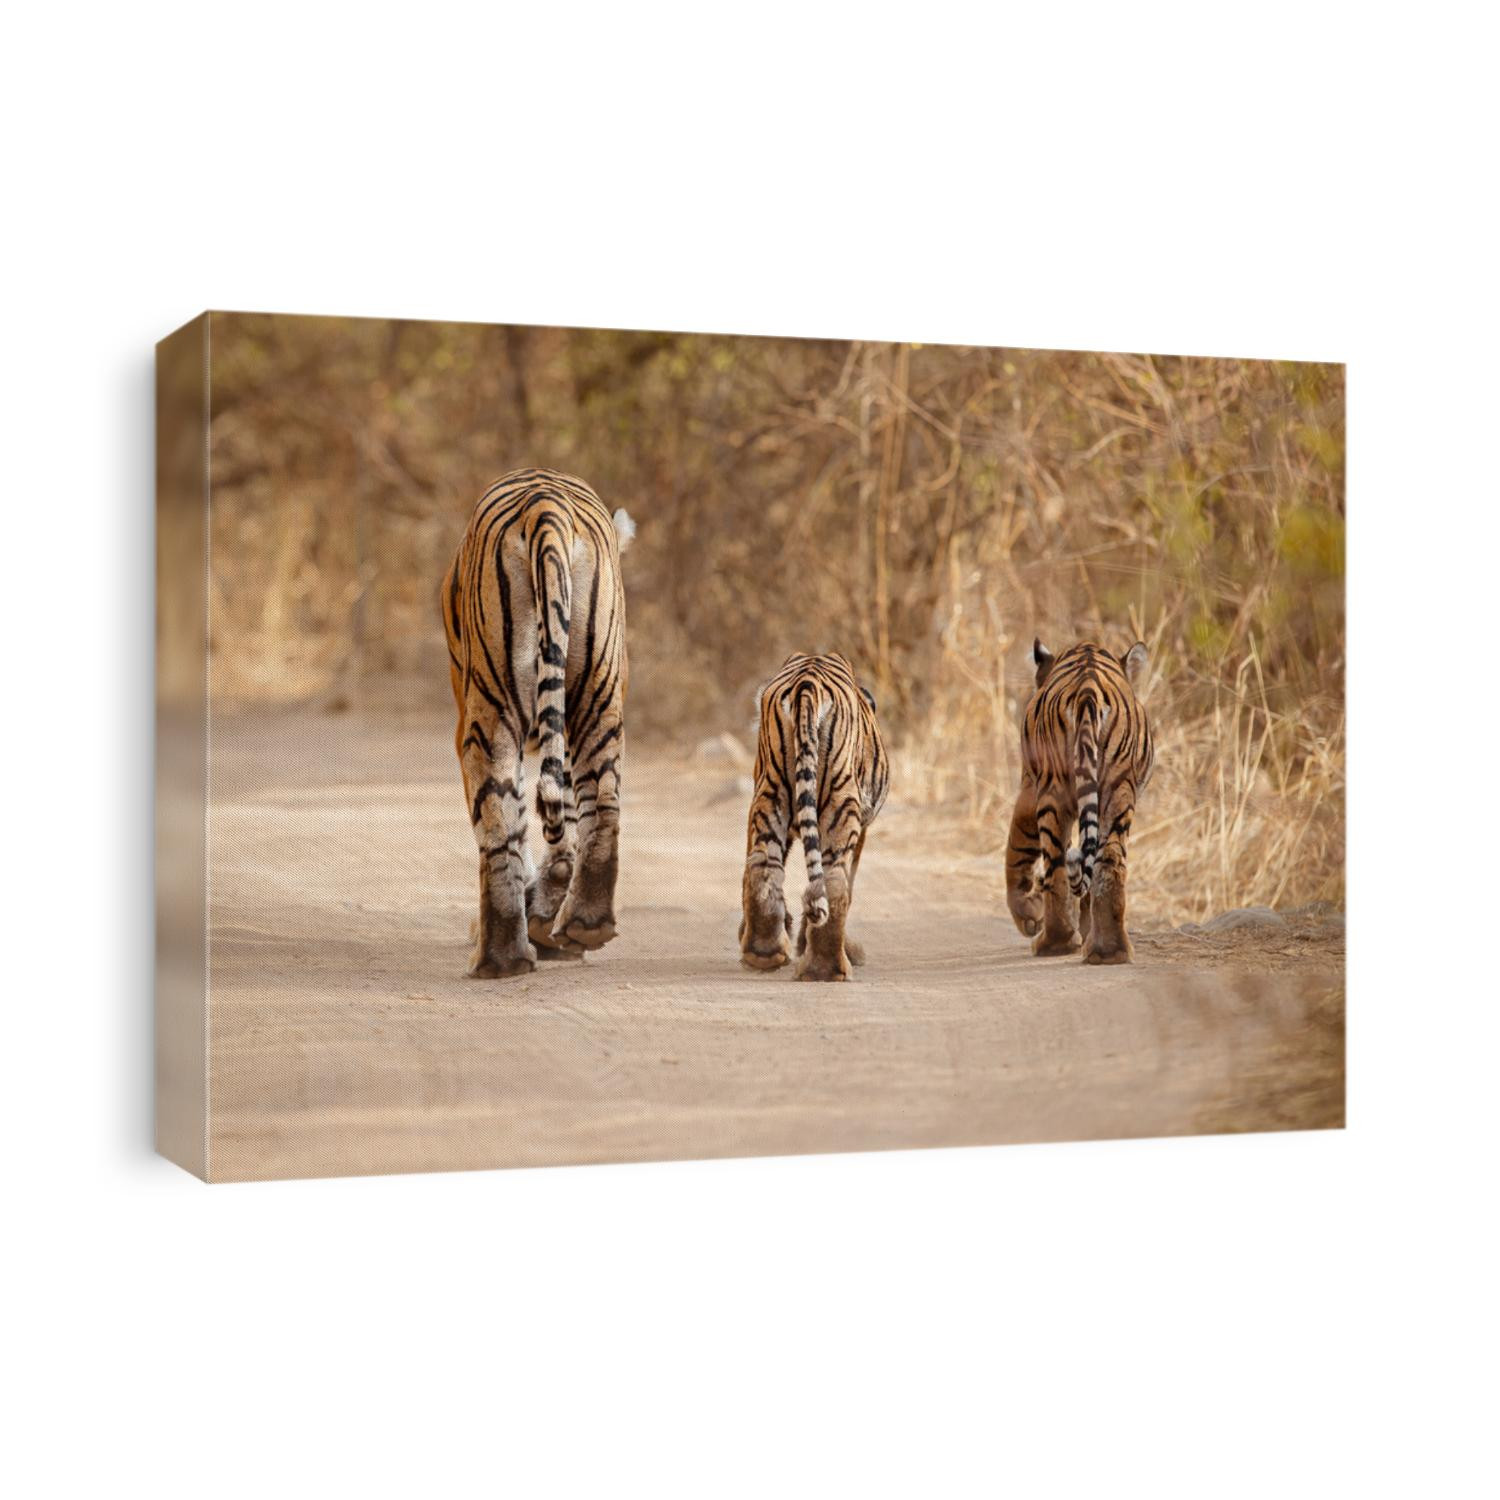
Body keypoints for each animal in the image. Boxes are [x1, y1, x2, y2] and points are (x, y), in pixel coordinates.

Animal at [441, 467, 634, 978]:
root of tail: (545, 505)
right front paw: (549, 917)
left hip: (489, 712)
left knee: (496, 820)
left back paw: (498, 956)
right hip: (597, 695)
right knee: (601, 801)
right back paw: (584, 923)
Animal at [739, 652, 889, 982]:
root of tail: (807, 680)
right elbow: (849, 882)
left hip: (771, 794)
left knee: (762, 866)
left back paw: (764, 953)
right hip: (841, 803)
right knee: (834, 881)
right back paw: (827, 968)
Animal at [1005, 638, 1154, 965]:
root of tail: (1088, 689)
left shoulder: (1029, 787)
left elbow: (1016, 849)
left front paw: (1027, 914)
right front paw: (1086, 929)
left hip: (1053, 790)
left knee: (1056, 865)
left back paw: (1053, 942)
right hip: (1117, 790)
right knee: (1109, 861)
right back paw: (1108, 950)